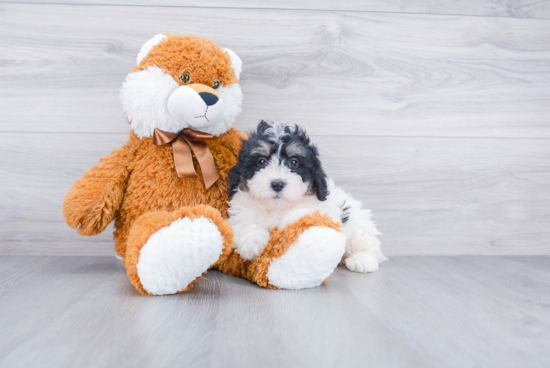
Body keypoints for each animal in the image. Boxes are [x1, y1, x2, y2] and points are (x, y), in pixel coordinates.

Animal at [229, 121, 388, 274]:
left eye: (293, 162)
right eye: (261, 161)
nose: (277, 184)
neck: (277, 207)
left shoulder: (320, 211)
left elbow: (300, 216)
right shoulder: (242, 213)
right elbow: (247, 225)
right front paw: (253, 244)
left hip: (356, 223)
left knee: (368, 245)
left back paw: (362, 260)